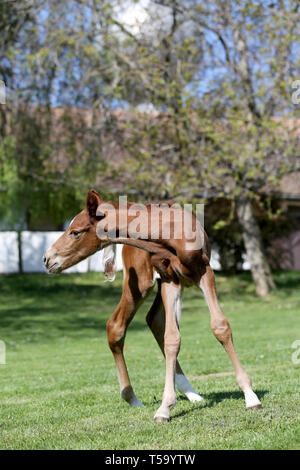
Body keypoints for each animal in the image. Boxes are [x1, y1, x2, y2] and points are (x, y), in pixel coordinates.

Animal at [43, 190, 262, 422]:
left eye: (75, 232)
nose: (47, 259)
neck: (169, 234)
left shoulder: (203, 271)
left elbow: (219, 326)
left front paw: (250, 396)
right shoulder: (170, 278)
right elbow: (172, 338)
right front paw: (165, 408)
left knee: (153, 320)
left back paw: (190, 393)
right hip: (141, 284)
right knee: (118, 325)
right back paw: (133, 397)